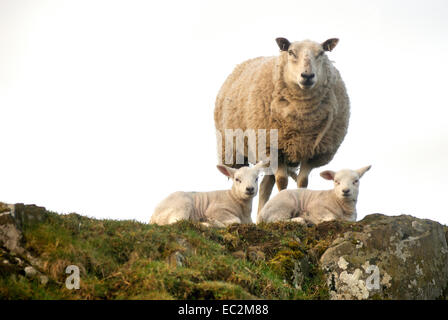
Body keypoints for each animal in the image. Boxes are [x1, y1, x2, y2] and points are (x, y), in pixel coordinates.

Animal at [214, 37, 350, 215]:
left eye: (321, 53)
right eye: (291, 52)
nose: (307, 76)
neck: (302, 118)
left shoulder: (312, 152)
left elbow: (302, 182)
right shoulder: (273, 148)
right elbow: (282, 181)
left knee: (265, 185)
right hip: (234, 149)